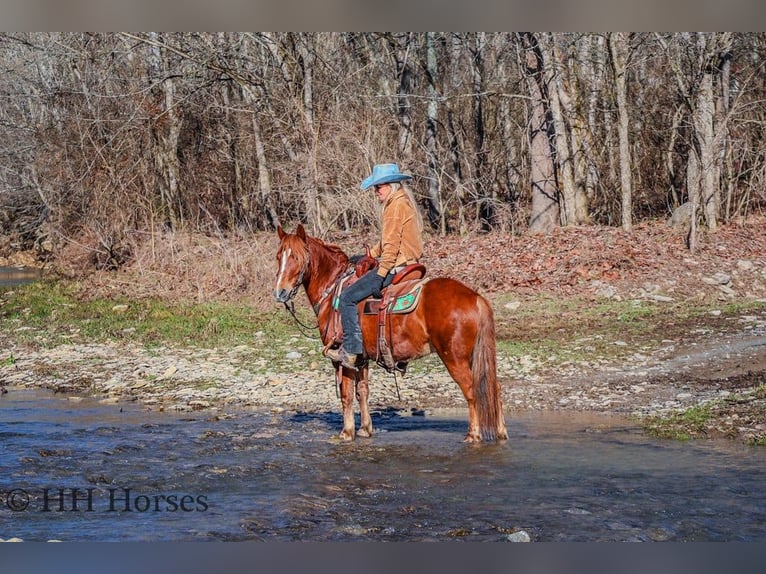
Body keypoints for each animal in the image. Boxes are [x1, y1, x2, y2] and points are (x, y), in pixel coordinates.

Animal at [273, 224, 508, 443]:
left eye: (296, 257)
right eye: (278, 256)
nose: (280, 292)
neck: (332, 291)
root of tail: (475, 297)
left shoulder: (341, 357)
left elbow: (347, 395)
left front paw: (346, 432)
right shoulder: (361, 358)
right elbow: (362, 391)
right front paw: (365, 429)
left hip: (454, 358)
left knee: (471, 390)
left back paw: (473, 434)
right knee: (494, 388)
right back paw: (501, 432)